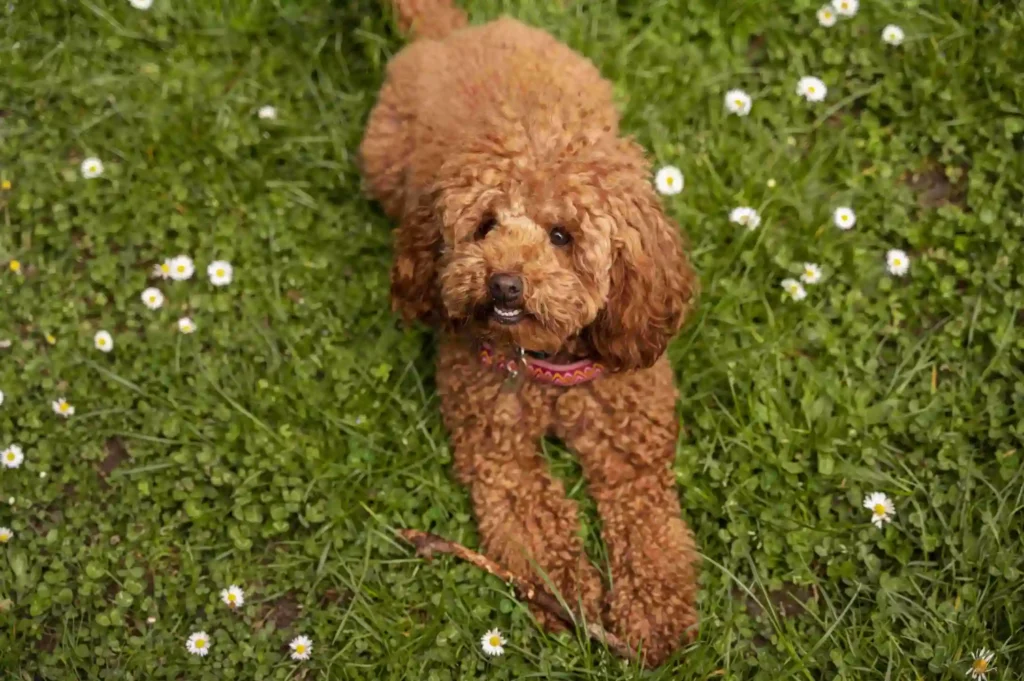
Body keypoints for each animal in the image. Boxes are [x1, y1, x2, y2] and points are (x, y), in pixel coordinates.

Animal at [360, 0, 704, 663]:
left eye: (562, 235)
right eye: (485, 226)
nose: (503, 285)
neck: (551, 371)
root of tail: (452, 34)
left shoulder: (633, 456)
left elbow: (651, 534)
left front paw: (655, 617)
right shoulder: (502, 456)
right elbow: (540, 525)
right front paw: (569, 597)